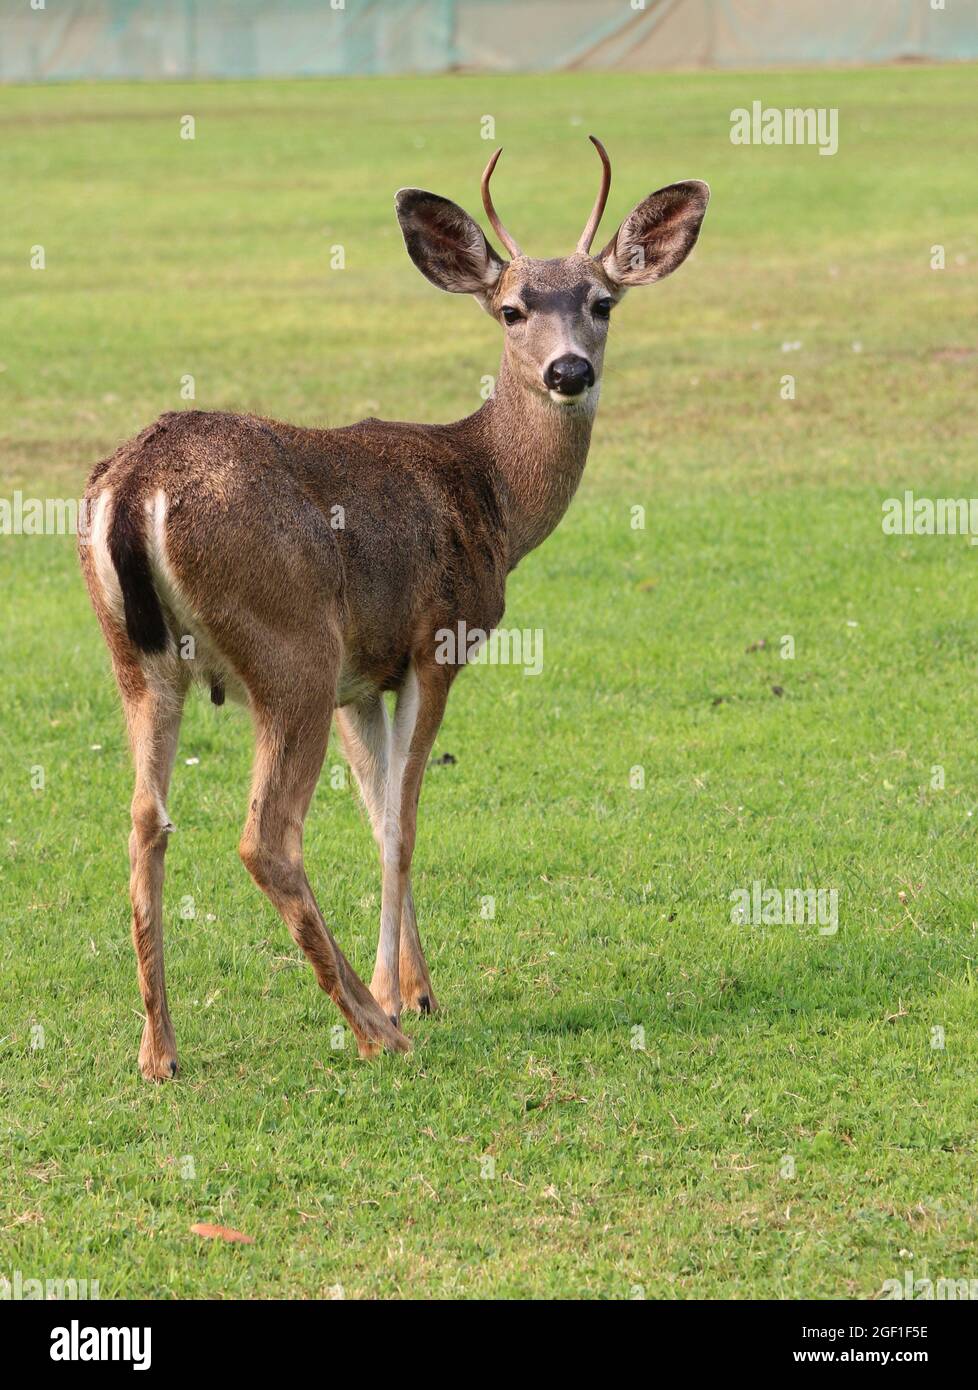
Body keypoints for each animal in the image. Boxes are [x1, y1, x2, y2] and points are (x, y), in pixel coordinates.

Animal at [79, 137, 709, 1080]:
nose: (570, 370)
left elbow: (377, 818)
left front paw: (414, 985)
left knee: (144, 820)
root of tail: (135, 485)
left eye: (602, 301)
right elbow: (404, 823)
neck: (489, 493)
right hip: (289, 647)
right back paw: (373, 1033)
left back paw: (161, 1050)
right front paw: (397, 996)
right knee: (265, 837)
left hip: (141, 660)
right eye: (512, 309)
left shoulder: (359, 677)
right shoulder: (430, 642)